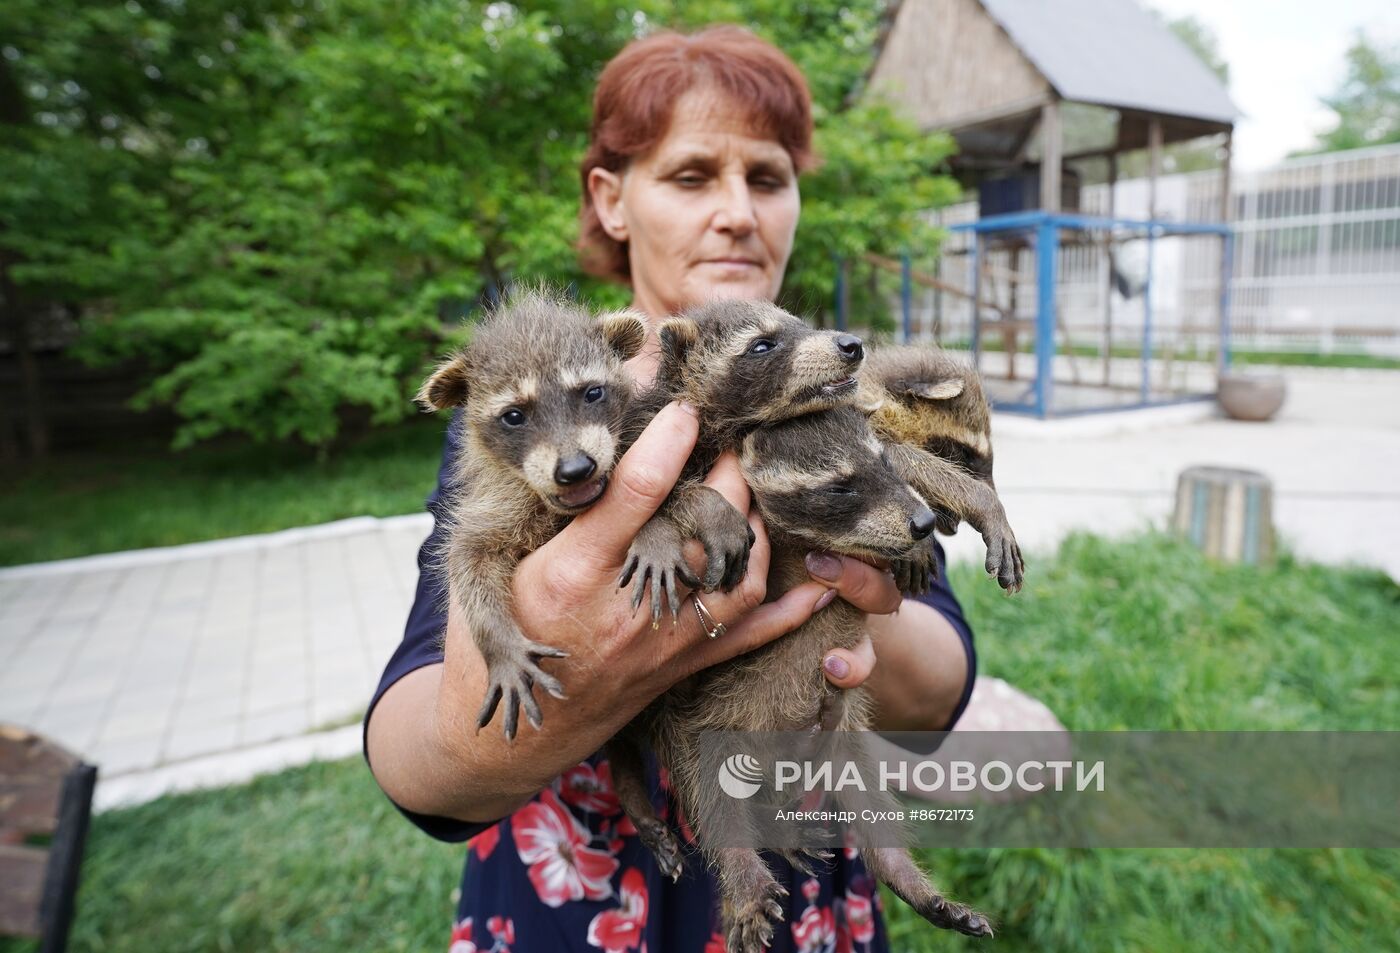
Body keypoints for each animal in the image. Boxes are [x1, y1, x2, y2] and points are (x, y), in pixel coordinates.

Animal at [417, 288, 646, 733]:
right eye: (513, 416)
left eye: (592, 393)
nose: (575, 469)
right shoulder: (493, 507)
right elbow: (468, 559)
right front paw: (499, 642)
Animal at [607, 405, 991, 946]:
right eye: (841, 488)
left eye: (882, 463)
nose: (923, 523)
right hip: (712, 736)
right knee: (711, 796)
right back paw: (744, 870)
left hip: (840, 745)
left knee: (870, 805)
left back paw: (899, 872)